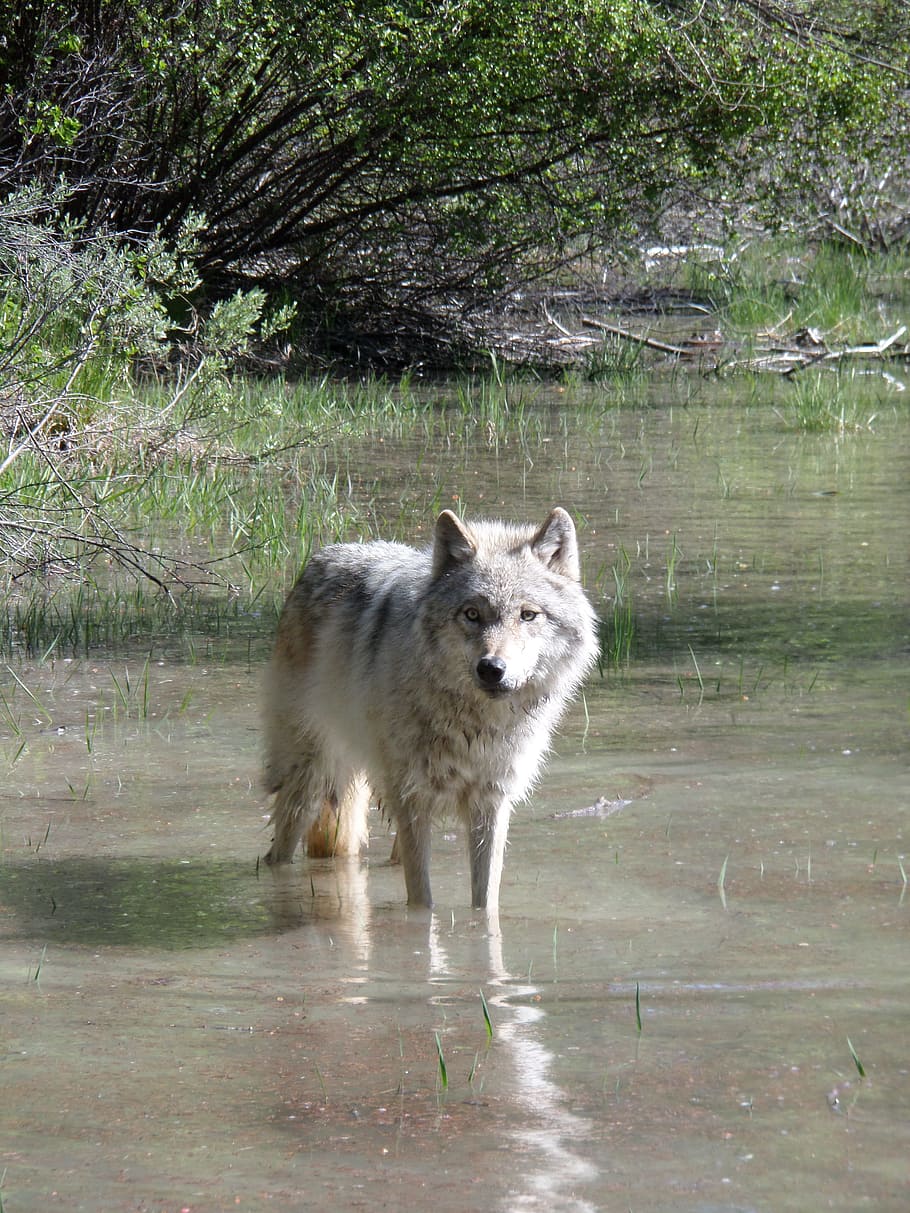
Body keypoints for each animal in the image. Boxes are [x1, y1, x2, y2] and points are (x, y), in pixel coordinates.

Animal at [262, 507, 599, 910]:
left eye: (528, 615)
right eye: (472, 614)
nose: (491, 668)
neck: (474, 725)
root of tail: (322, 557)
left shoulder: (491, 803)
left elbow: (485, 899)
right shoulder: (413, 800)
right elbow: (422, 901)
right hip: (312, 777)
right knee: (278, 851)